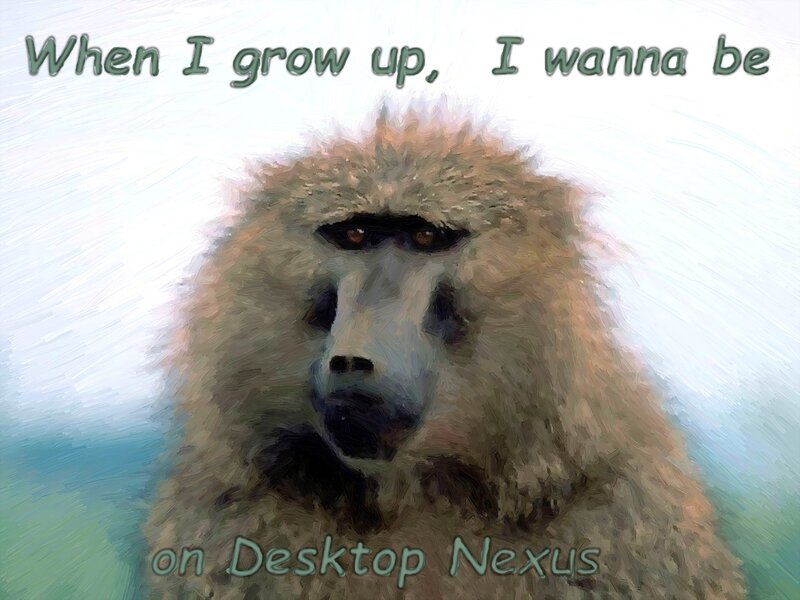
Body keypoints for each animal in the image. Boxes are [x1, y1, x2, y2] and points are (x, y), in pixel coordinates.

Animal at [145, 108, 746, 599]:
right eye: (355, 235)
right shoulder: (231, 515)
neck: (420, 490)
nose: (354, 359)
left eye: (426, 239)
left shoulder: (622, 512)